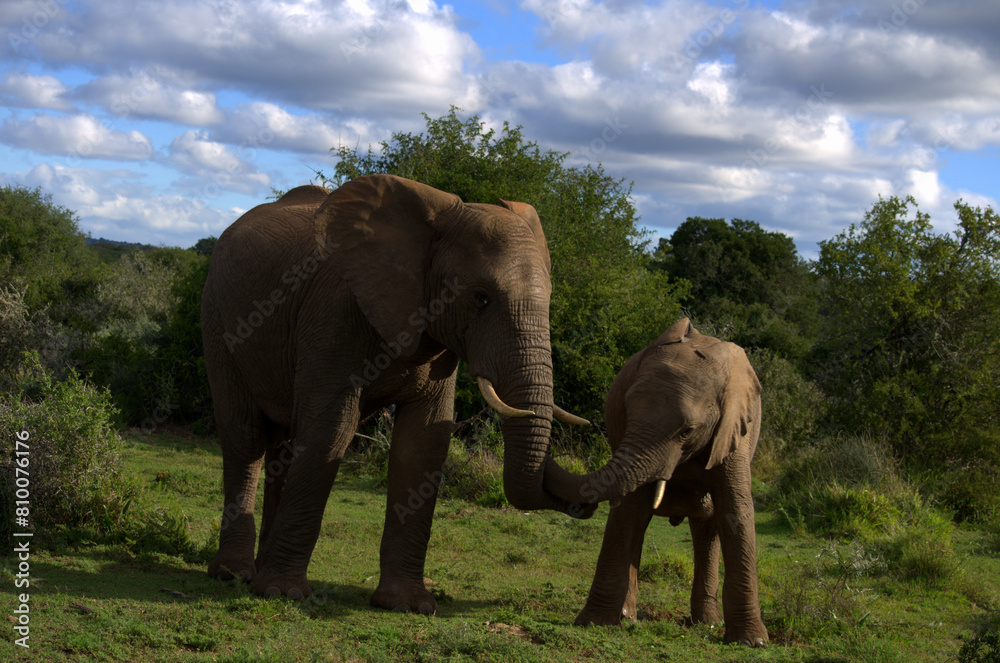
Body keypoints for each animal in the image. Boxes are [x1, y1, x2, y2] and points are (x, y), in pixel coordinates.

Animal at [200, 174, 591, 612]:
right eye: (480, 297)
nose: (588, 501)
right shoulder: (335, 313)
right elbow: (329, 431)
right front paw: (282, 594)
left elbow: (424, 441)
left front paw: (407, 605)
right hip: (218, 322)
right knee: (244, 435)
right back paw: (236, 574)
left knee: (280, 445)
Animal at [544, 318, 768, 646]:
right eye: (626, 410)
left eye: (687, 431)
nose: (581, 507)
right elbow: (629, 510)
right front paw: (594, 623)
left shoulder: (735, 430)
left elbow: (735, 511)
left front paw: (751, 642)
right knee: (642, 522)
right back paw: (629, 616)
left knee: (707, 528)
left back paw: (707, 623)